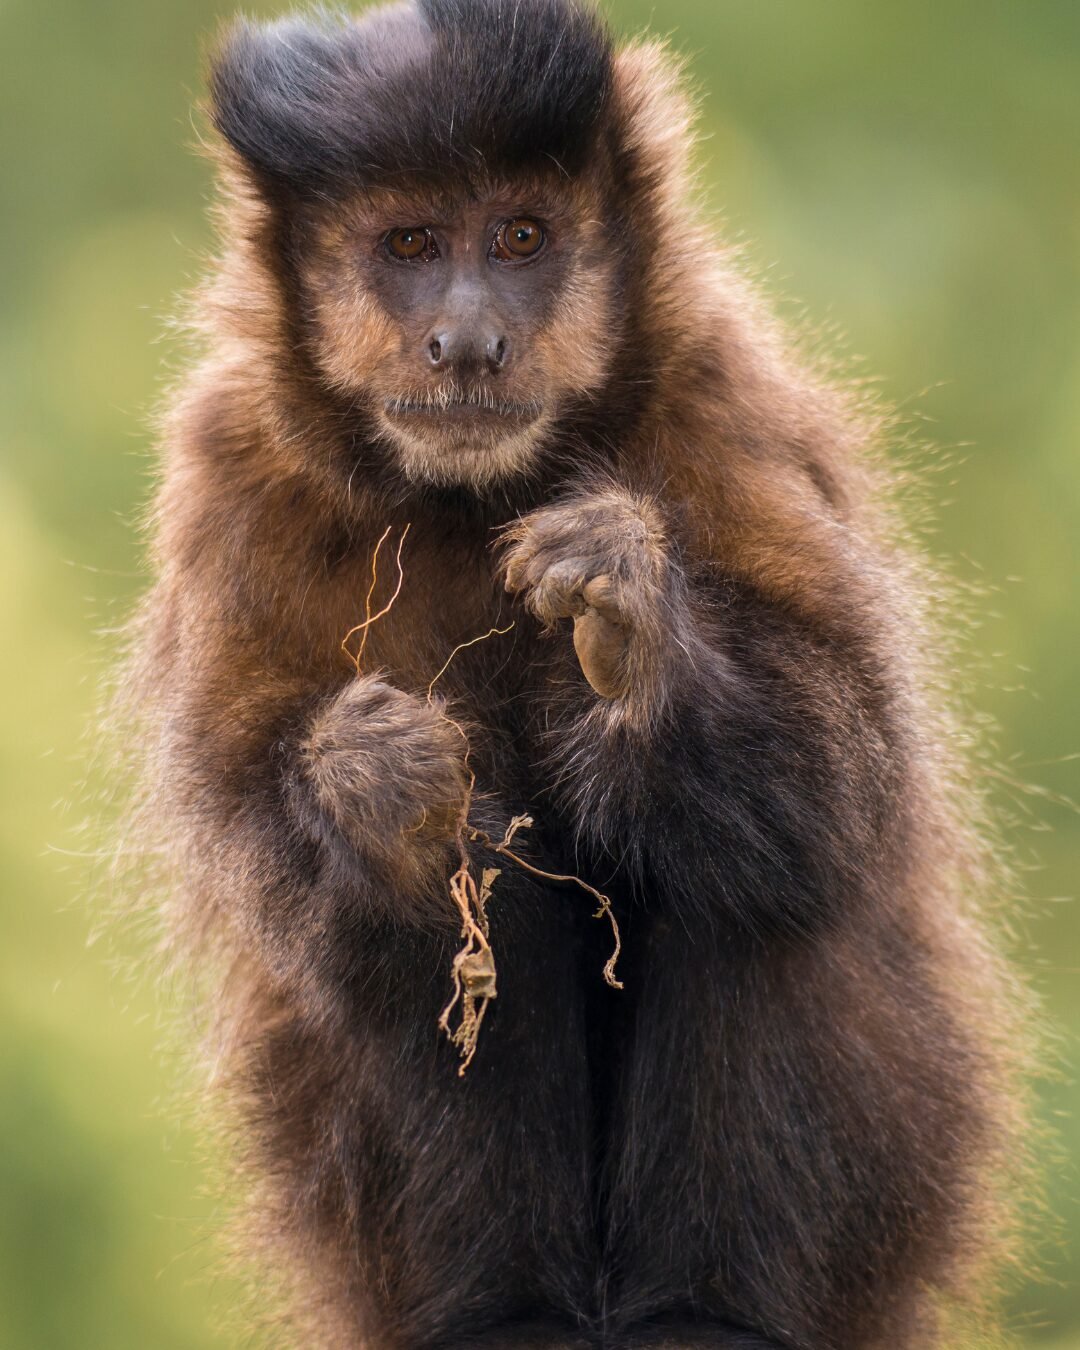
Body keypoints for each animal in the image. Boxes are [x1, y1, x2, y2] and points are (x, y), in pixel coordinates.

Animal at [121, 0, 1032, 1346]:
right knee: (453, 918)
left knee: (758, 868)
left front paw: (632, 633)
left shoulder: (721, 391)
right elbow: (293, 892)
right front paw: (366, 779)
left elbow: (846, 773)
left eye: (520, 237)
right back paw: (506, 1308)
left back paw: (707, 1310)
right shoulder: (230, 469)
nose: (467, 341)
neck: (470, 496)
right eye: (410, 243)